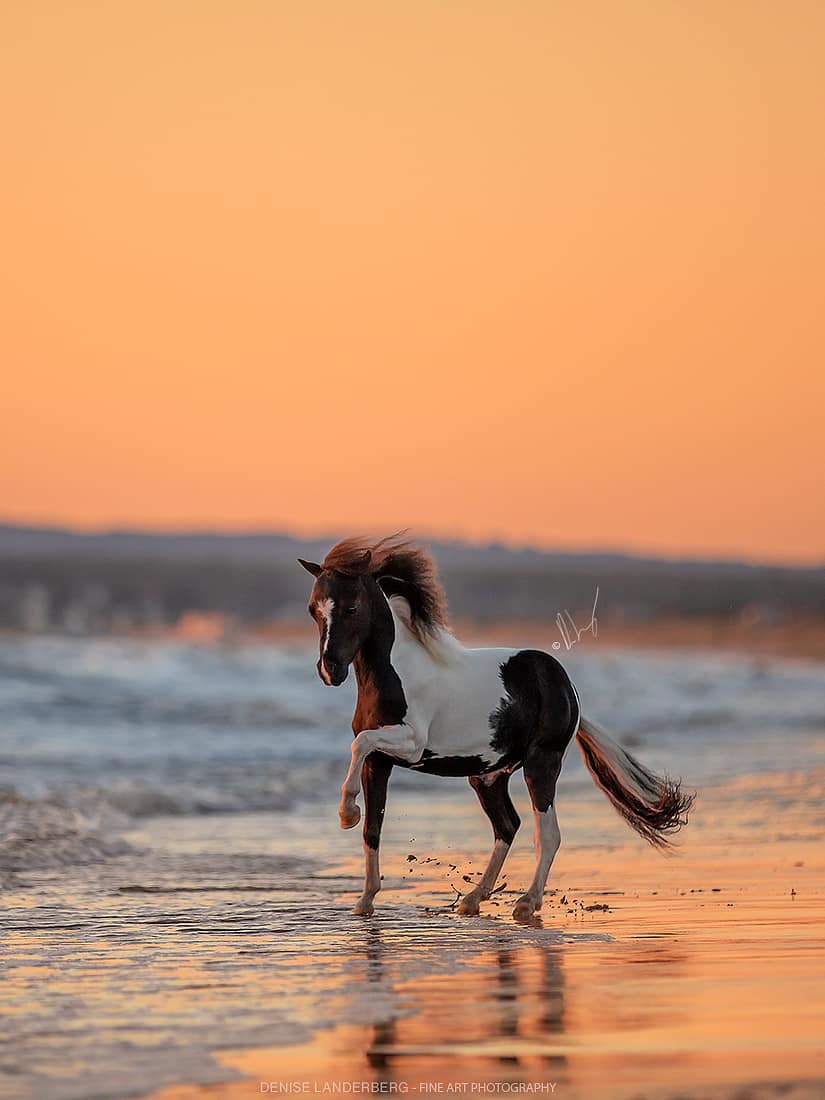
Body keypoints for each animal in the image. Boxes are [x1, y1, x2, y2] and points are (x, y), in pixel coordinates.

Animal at [298, 535, 693, 918]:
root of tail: (566, 686)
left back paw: (527, 903)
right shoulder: (380, 763)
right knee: (508, 826)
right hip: (487, 776)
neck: (397, 673)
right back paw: (473, 900)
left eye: (352, 607)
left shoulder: (410, 743)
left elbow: (360, 744)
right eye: (313, 609)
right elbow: (372, 828)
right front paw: (364, 900)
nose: (330, 671)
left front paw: (346, 813)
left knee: (547, 834)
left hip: (541, 764)